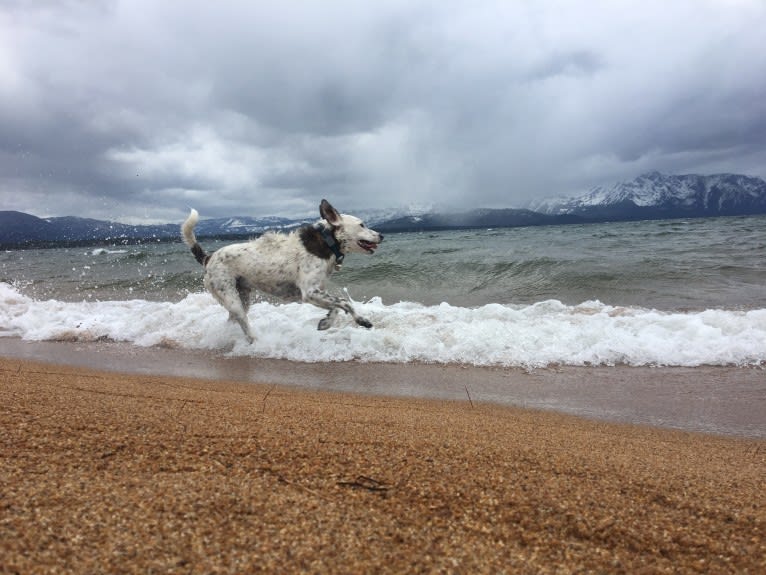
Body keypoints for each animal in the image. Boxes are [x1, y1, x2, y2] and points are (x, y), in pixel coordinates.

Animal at [181, 199, 384, 342]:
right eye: (362, 225)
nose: (381, 235)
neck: (327, 242)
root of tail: (208, 258)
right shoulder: (309, 292)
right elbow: (344, 302)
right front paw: (362, 320)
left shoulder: (317, 291)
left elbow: (335, 307)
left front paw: (326, 322)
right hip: (231, 297)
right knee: (243, 323)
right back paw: (256, 341)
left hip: (242, 297)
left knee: (233, 320)